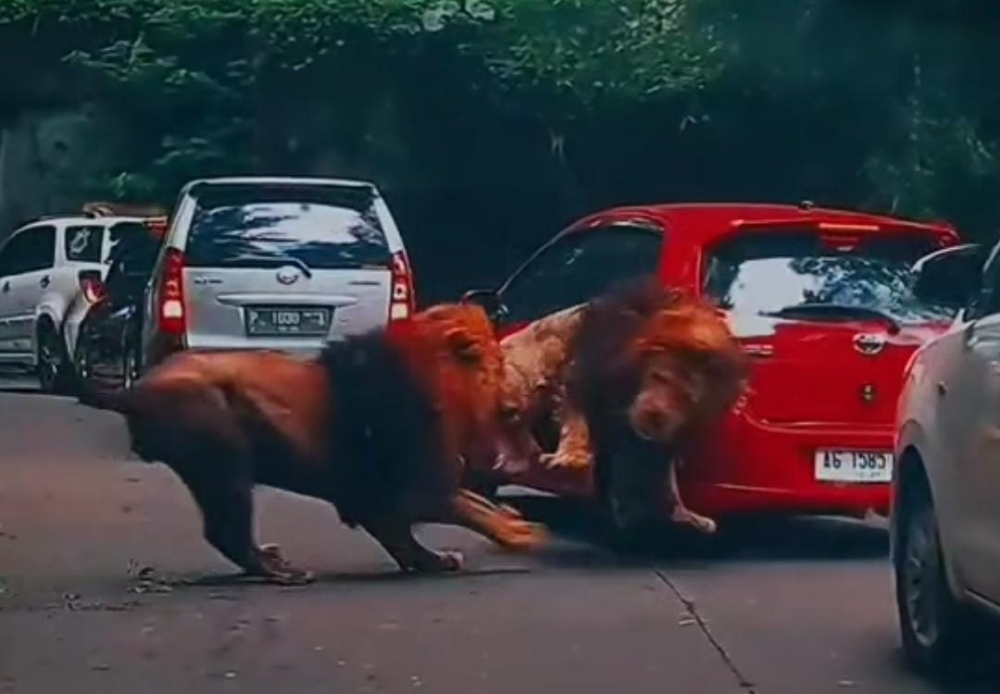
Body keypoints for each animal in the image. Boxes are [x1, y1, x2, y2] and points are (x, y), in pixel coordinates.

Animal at [77, 303, 548, 584]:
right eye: (500, 361)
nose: (522, 391)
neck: (446, 388)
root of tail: (136, 390)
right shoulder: (415, 487)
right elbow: (469, 508)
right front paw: (520, 532)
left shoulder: (373, 499)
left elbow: (414, 533)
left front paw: (439, 559)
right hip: (222, 459)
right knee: (225, 531)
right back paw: (280, 571)